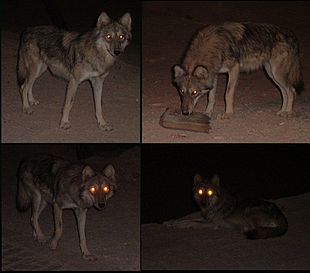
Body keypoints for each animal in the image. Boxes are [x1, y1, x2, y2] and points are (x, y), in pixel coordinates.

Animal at [173, 22, 304, 117]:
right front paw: (207, 112)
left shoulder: (234, 69)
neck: (213, 48)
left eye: (195, 92)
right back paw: (282, 111)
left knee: (291, 91)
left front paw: (228, 114)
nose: (185, 112)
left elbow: (228, 94)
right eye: (182, 92)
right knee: (284, 92)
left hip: (277, 74)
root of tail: (292, 35)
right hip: (272, 74)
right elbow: (211, 97)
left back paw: (288, 112)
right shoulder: (214, 75)